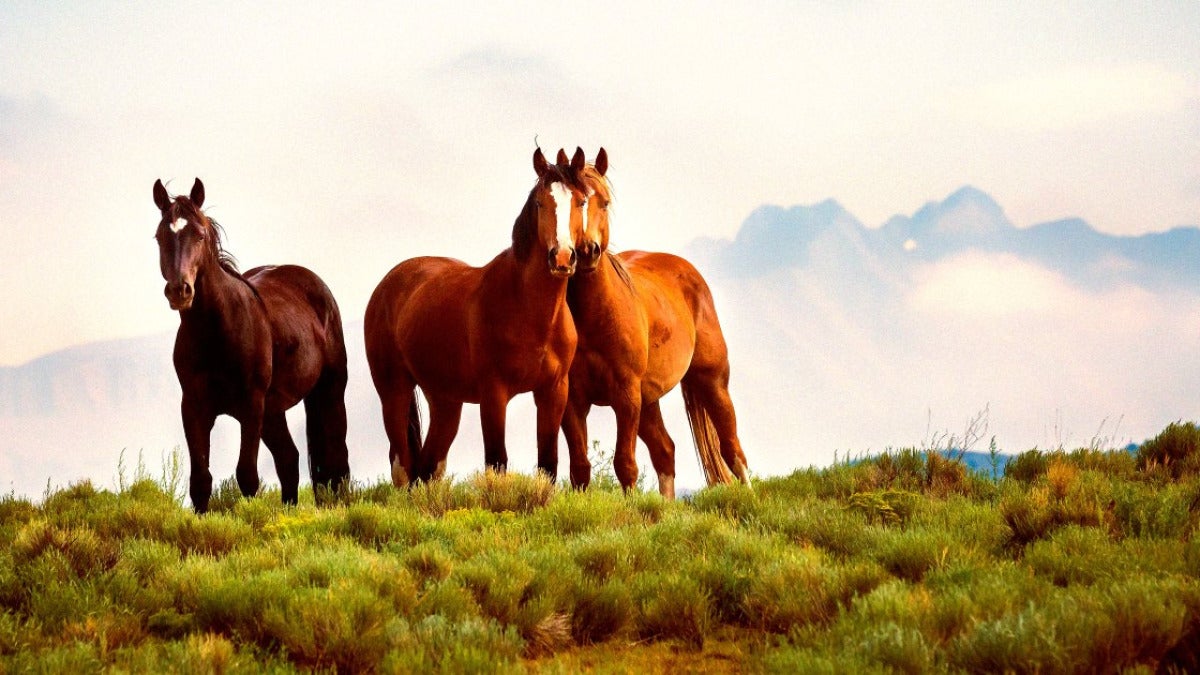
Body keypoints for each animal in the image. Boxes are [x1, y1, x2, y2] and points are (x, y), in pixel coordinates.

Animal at [152, 178, 351, 513]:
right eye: (159, 236)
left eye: (200, 235)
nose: (180, 290)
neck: (218, 331)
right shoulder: (193, 407)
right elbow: (201, 481)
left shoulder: (251, 405)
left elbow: (247, 476)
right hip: (273, 412)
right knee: (289, 459)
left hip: (329, 393)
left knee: (336, 461)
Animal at [363, 148, 585, 485]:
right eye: (539, 202)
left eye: (581, 201)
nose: (561, 257)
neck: (530, 311)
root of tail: (388, 284)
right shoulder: (493, 395)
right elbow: (497, 462)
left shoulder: (553, 391)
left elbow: (547, 465)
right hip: (393, 392)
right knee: (403, 466)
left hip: (445, 401)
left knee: (427, 467)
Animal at [560, 148, 750, 498]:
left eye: (604, 202)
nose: (588, 251)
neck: (596, 319)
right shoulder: (574, 401)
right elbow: (579, 468)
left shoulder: (625, 397)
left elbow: (625, 464)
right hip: (649, 401)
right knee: (666, 450)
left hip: (712, 382)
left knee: (732, 447)